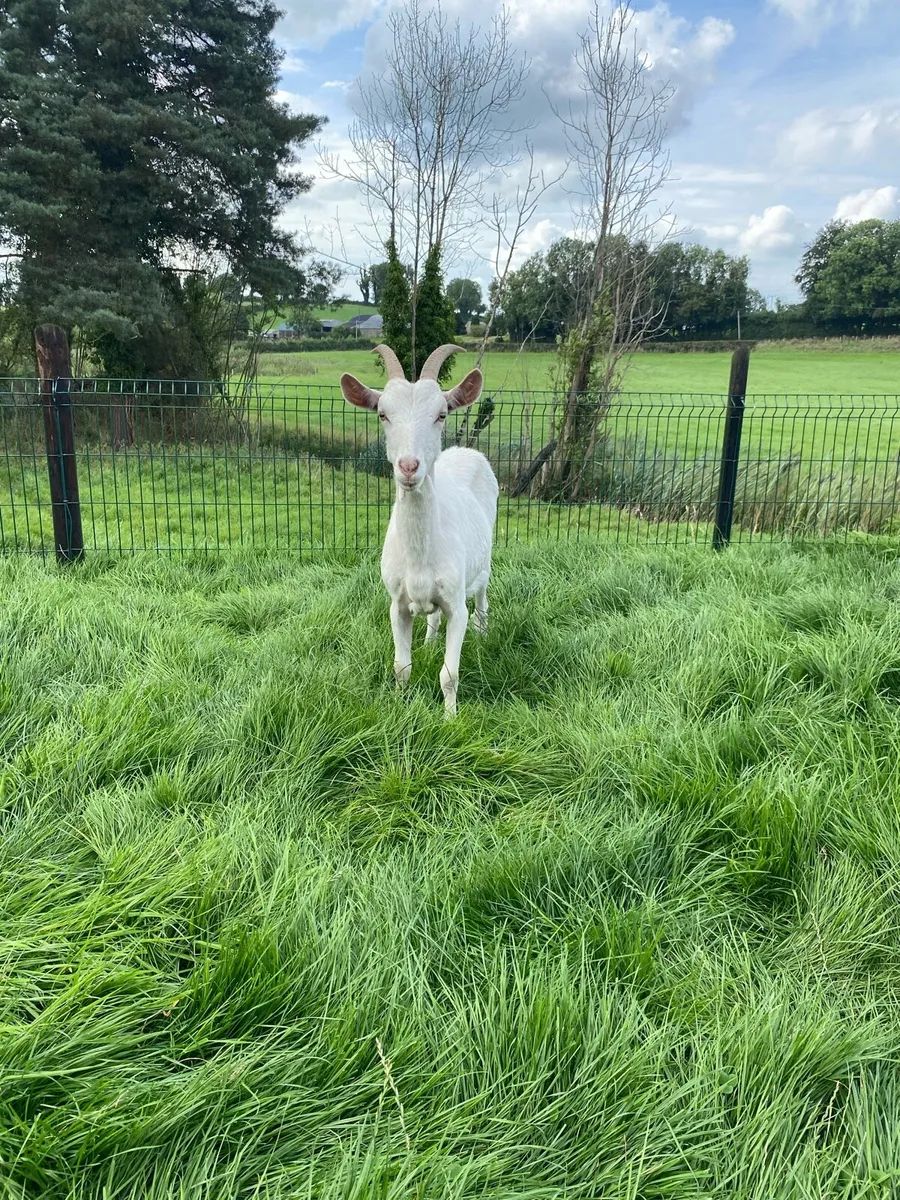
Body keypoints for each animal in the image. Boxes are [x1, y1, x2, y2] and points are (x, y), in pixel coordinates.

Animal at [341, 343, 499, 716]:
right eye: (382, 414)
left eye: (441, 414)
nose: (409, 467)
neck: (420, 554)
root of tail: (466, 450)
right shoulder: (397, 603)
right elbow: (402, 666)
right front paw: (399, 707)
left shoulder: (456, 603)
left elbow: (449, 674)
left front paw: (451, 719)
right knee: (433, 618)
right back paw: (428, 643)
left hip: (484, 566)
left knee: (482, 605)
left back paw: (483, 639)